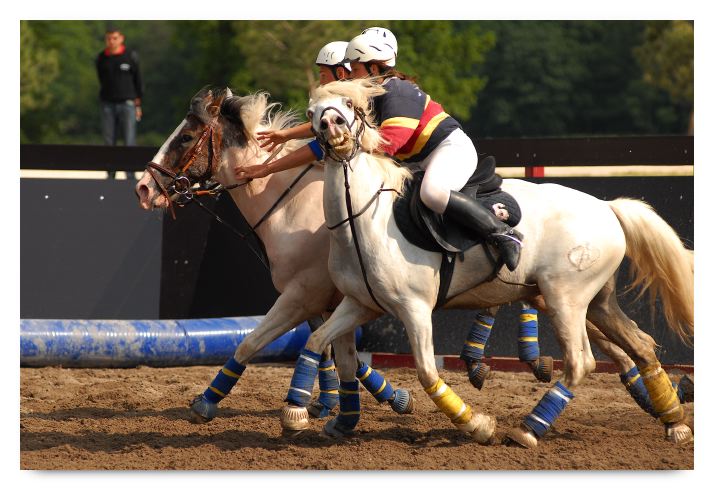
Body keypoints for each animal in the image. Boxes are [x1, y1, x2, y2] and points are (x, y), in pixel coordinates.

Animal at [279, 78, 693, 448]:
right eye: (313, 112)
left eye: (348, 105)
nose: (332, 127)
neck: (361, 218)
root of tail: (607, 207)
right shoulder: (359, 304)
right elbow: (316, 341)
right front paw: (298, 414)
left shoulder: (414, 309)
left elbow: (427, 373)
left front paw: (478, 425)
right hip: (597, 302)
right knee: (640, 346)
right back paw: (674, 422)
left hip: (566, 299)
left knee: (581, 362)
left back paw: (528, 430)